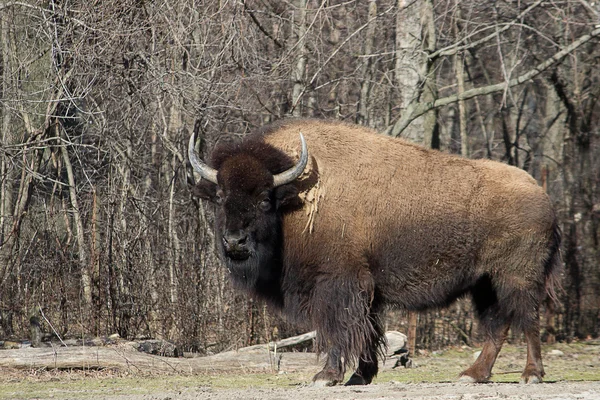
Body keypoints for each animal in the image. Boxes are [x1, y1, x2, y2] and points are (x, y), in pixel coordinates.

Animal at [189, 119, 564, 388]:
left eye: (265, 198)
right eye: (220, 196)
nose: (235, 242)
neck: (298, 199)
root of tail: (543, 195)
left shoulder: (337, 283)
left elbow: (338, 329)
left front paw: (326, 377)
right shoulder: (366, 290)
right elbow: (368, 330)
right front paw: (359, 376)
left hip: (517, 279)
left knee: (528, 319)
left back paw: (530, 375)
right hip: (485, 285)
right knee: (497, 327)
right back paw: (472, 375)